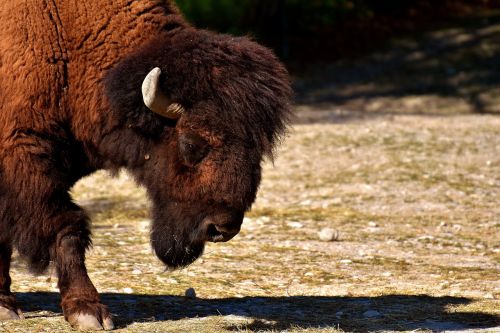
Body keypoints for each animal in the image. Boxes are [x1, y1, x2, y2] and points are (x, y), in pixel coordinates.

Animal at [0, 0, 292, 330]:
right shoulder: (26, 161)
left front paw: (5, 305)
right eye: (190, 143)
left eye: (258, 148)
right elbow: (66, 227)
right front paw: (88, 311)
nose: (222, 228)